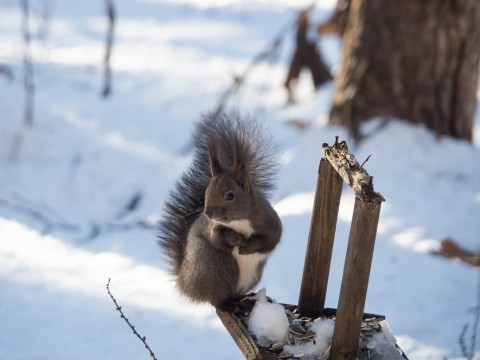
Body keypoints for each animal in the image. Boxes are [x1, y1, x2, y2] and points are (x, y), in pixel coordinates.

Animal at [158, 112, 282, 310]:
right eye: (206, 192)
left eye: (230, 195)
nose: (208, 213)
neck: (239, 220)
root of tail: (186, 284)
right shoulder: (213, 226)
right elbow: (218, 237)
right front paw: (236, 239)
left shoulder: (269, 221)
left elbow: (270, 240)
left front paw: (249, 246)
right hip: (217, 267)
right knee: (217, 300)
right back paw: (231, 305)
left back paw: (245, 298)